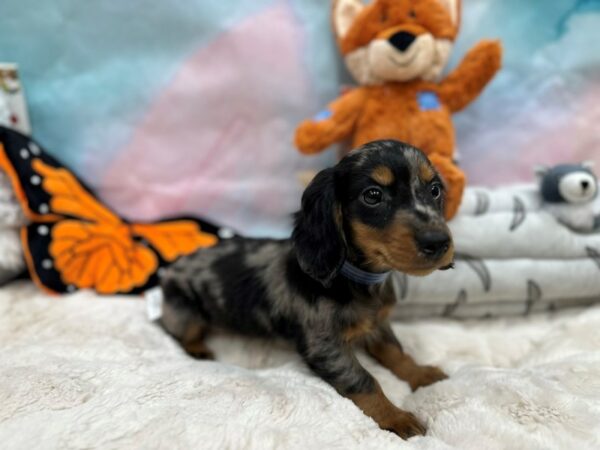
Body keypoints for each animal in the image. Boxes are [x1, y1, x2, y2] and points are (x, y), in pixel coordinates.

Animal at [159, 140, 454, 436]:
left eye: (435, 190)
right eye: (373, 195)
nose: (438, 242)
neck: (354, 279)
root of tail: (172, 268)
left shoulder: (378, 323)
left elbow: (396, 351)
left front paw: (421, 373)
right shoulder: (324, 346)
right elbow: (363, 379)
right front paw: (395, 417)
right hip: (184, 313)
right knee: (175, 331)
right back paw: (197, 348)